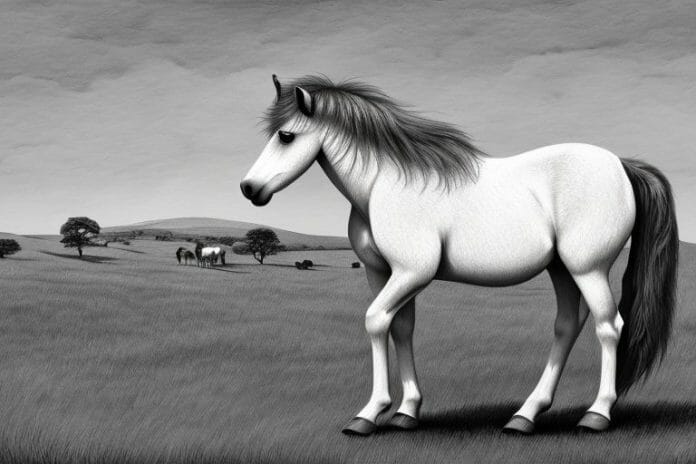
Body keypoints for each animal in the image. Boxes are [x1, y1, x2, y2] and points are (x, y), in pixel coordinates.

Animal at [240, 75, 678, 436]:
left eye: (285, 136)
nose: (249, 188)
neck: (385, 184)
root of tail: (621, 165)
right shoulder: (383, 273)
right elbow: (401, 329)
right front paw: (406, 412)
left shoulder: (411, 273)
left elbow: (376, 322)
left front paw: (368, 414)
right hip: (562, 269)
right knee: (568, 325)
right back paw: (525, 416)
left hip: (589, 268)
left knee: (609, 327)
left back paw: (596, 414)